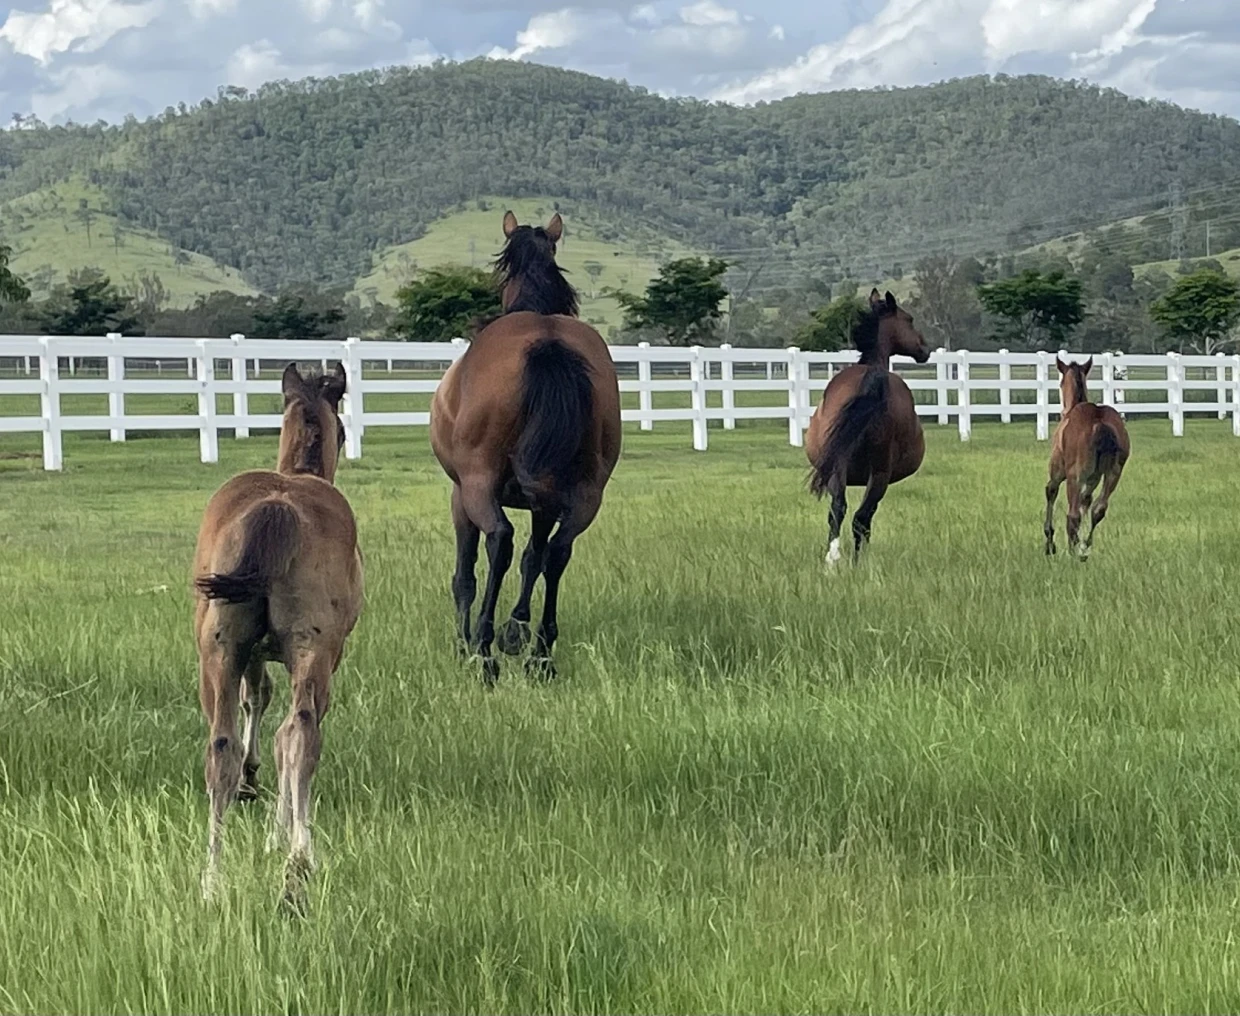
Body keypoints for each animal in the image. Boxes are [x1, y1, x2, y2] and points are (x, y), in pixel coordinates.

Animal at [192, 361, 363, 911]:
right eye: (342, 427)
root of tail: (277, 508)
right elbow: (276, 717)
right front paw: (277, 830)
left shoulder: (248, 652)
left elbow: (255, 700)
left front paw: (251, 784)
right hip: (315, 652)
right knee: (298, 734)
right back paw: (297, 860)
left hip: (217, 651)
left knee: (220, 747)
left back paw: (212, 880)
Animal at [430, 211, 621, 685]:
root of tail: (546, 340)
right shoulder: (543, 501)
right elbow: (534, 558)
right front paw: (516, 627)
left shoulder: (459, 495)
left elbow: (465, 574)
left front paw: (466, 642)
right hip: (585, 493)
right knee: (557, 551)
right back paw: (539, 653)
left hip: (479, 485)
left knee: (499, 541)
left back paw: (484, 650)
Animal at [805, 289, 931, 564]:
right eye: (909, 320)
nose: (925, 348)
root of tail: (870, 381)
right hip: (879, 474)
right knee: (861, 518)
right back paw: (857, 562)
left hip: (838, 468)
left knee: (838, 509)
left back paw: (832, 561)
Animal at [1043, 356, 1130, 559]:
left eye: (1060, 383)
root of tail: (1100, 423)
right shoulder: (1093, 478)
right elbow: (1087, 501)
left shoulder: (1058, 472)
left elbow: (1050, 490)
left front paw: (1049, 543)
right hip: (1114, 473)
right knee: (1099, 508)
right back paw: (1084, 547)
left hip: (1074, 476)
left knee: (1072, 515)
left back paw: (1072, 552)